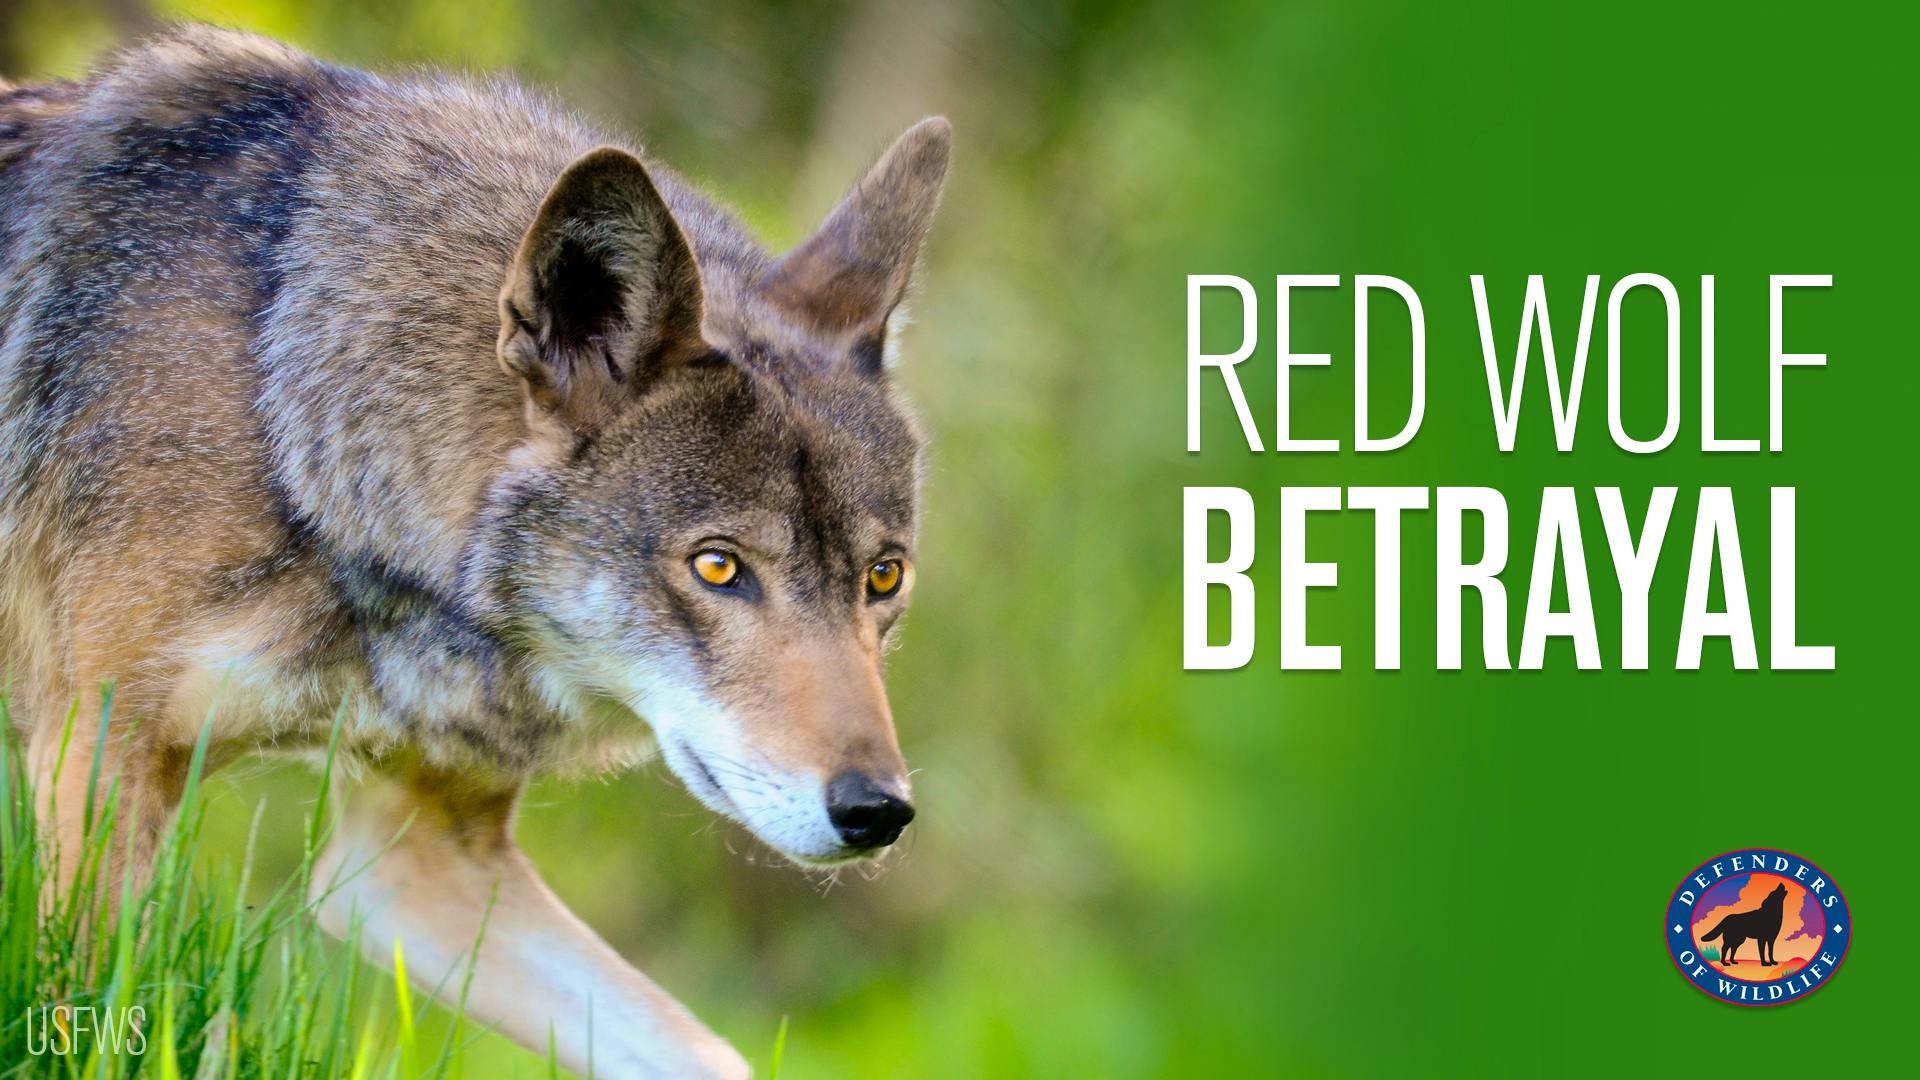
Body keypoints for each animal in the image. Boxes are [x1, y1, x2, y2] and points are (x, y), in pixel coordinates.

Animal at [0, 25, 949, 1077]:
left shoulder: (413, 861)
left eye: (883, 577)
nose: (877, 812)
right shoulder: (91, 760)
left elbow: (710, 1054)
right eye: (718, 566)